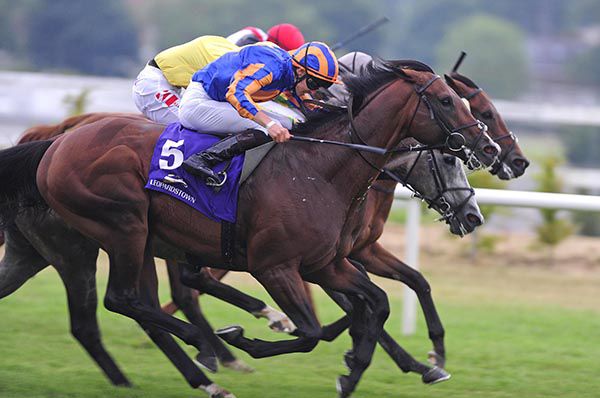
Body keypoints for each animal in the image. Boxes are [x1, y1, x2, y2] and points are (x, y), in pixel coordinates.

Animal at [0, 60, 500, 396]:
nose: (488, 149)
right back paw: (206, 344)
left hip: (99, 243)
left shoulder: (328, 262)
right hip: (119, 229)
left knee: (136, 305)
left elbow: (377, 303)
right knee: (122, 301)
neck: (319, 169)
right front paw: (246, 338)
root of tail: (55, 142)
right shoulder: (275, 266)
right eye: (445, 101)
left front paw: (360, 369)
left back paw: (202, 367)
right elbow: (313, 331)